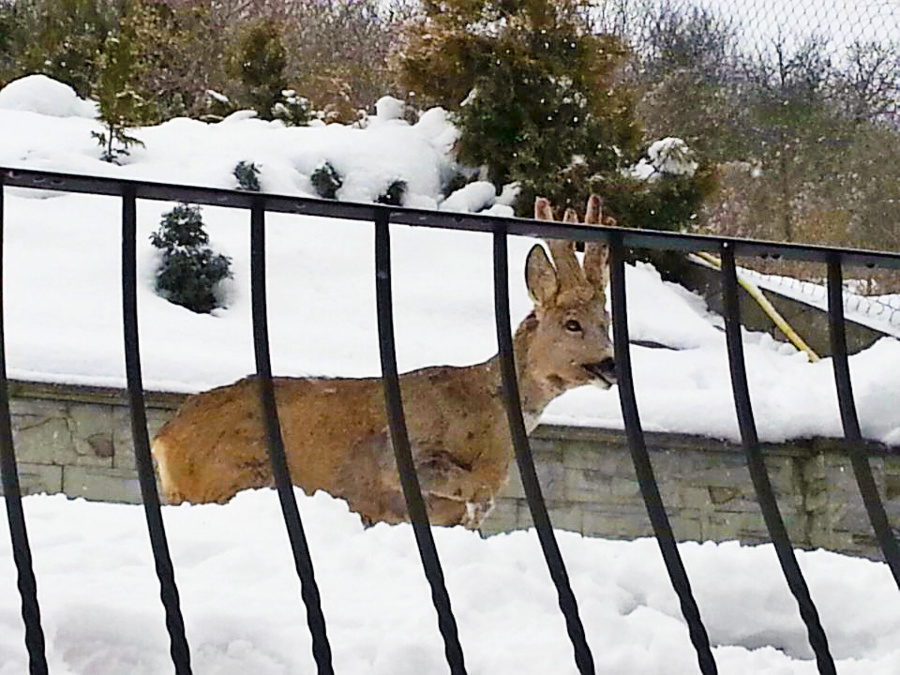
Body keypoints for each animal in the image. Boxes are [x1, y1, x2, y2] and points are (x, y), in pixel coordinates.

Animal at [153, 194, 620, 528]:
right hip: (224, 480)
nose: (611, 363)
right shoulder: (397, 462)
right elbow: (467, 488)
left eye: (607, 321)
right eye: (572, 323)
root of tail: (164, 438)